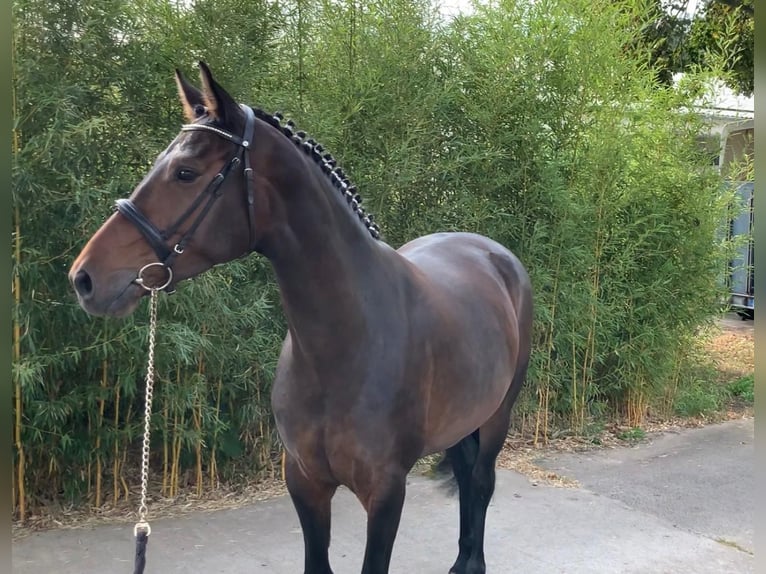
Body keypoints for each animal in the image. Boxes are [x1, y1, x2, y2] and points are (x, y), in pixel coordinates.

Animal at [69, 63, 536, 574]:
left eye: (185, 173)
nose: (85, 277)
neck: (348, 342)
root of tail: (491, 252)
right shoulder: (304, 481)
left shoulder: (386, 492)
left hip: (498, 415)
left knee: (481, 481)